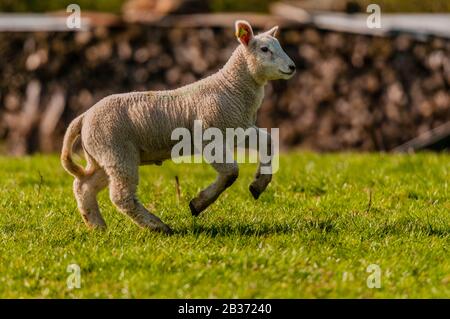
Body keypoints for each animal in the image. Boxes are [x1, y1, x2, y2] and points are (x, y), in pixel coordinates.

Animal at [61, 20, 298, 235]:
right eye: (265, 49)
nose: (292, 67)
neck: (231, 88)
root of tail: (84, 116)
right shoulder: (209, 135)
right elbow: (231, 172)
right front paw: (198, 204)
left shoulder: (239, 128)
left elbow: (268, 143)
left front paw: (258, 185)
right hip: (116, 151)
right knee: (121, 196)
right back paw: (158, 226)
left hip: (103, 156)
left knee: (84, 186)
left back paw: (98, 226)